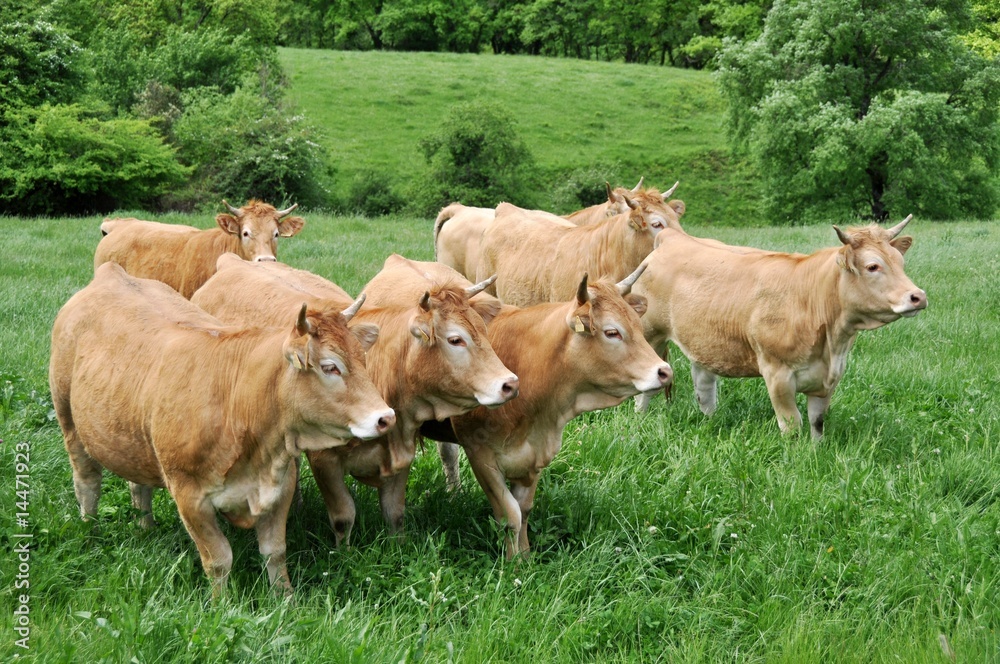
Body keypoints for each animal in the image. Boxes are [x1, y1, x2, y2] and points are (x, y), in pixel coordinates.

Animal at [49, 262, 394, 597]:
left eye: (363, 360)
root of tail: (111, 272)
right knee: (87, 482)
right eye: (330, 367)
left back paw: (145, 528)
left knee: (139, 486)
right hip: (68, 418)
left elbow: (275, 552)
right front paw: (221, 604)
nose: (386, 417)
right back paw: (90, 533)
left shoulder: (280, 487)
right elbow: (218, 559)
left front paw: (285, 600)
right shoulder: (189, 496)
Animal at [191, 253, 518, 547]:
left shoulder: (401, 453)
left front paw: (398, 550)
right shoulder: (325, 461)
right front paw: (344, 555)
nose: (509, 384)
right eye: (455, 339)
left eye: (484, 331)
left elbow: (395, 513)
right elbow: (343, 516)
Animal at [377, 259, 672, 558]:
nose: (664, 371)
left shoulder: (537, 453)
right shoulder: (481, 454)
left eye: (637, 325)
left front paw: (526, 556)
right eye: (612, 332)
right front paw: (513, 562)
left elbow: (525, 510)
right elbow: (510, 515)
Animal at [632, 216, 928, 439]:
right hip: (650, 333)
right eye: (872, 266)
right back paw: (639, 419)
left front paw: (816, 451)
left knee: (704, 388)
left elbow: (817, 422)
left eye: (900, 263)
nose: (918, 296)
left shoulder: (830, 377)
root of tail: (671, 238)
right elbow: (792, 424)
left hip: (703, 342)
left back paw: (710, 422)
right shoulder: (777, 374)